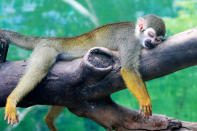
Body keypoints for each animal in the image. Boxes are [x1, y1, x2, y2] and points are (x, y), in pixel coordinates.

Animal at [0, 14, 165, 129]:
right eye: (151, 35)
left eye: (158, 39)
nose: (151, 43)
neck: (137, 34)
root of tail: (46, 39)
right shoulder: (130, 42)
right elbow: (128, 69)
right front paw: (145, 100)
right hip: (46, 49)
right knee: (39, 70)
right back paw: (12, 99)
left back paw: (49, 120)